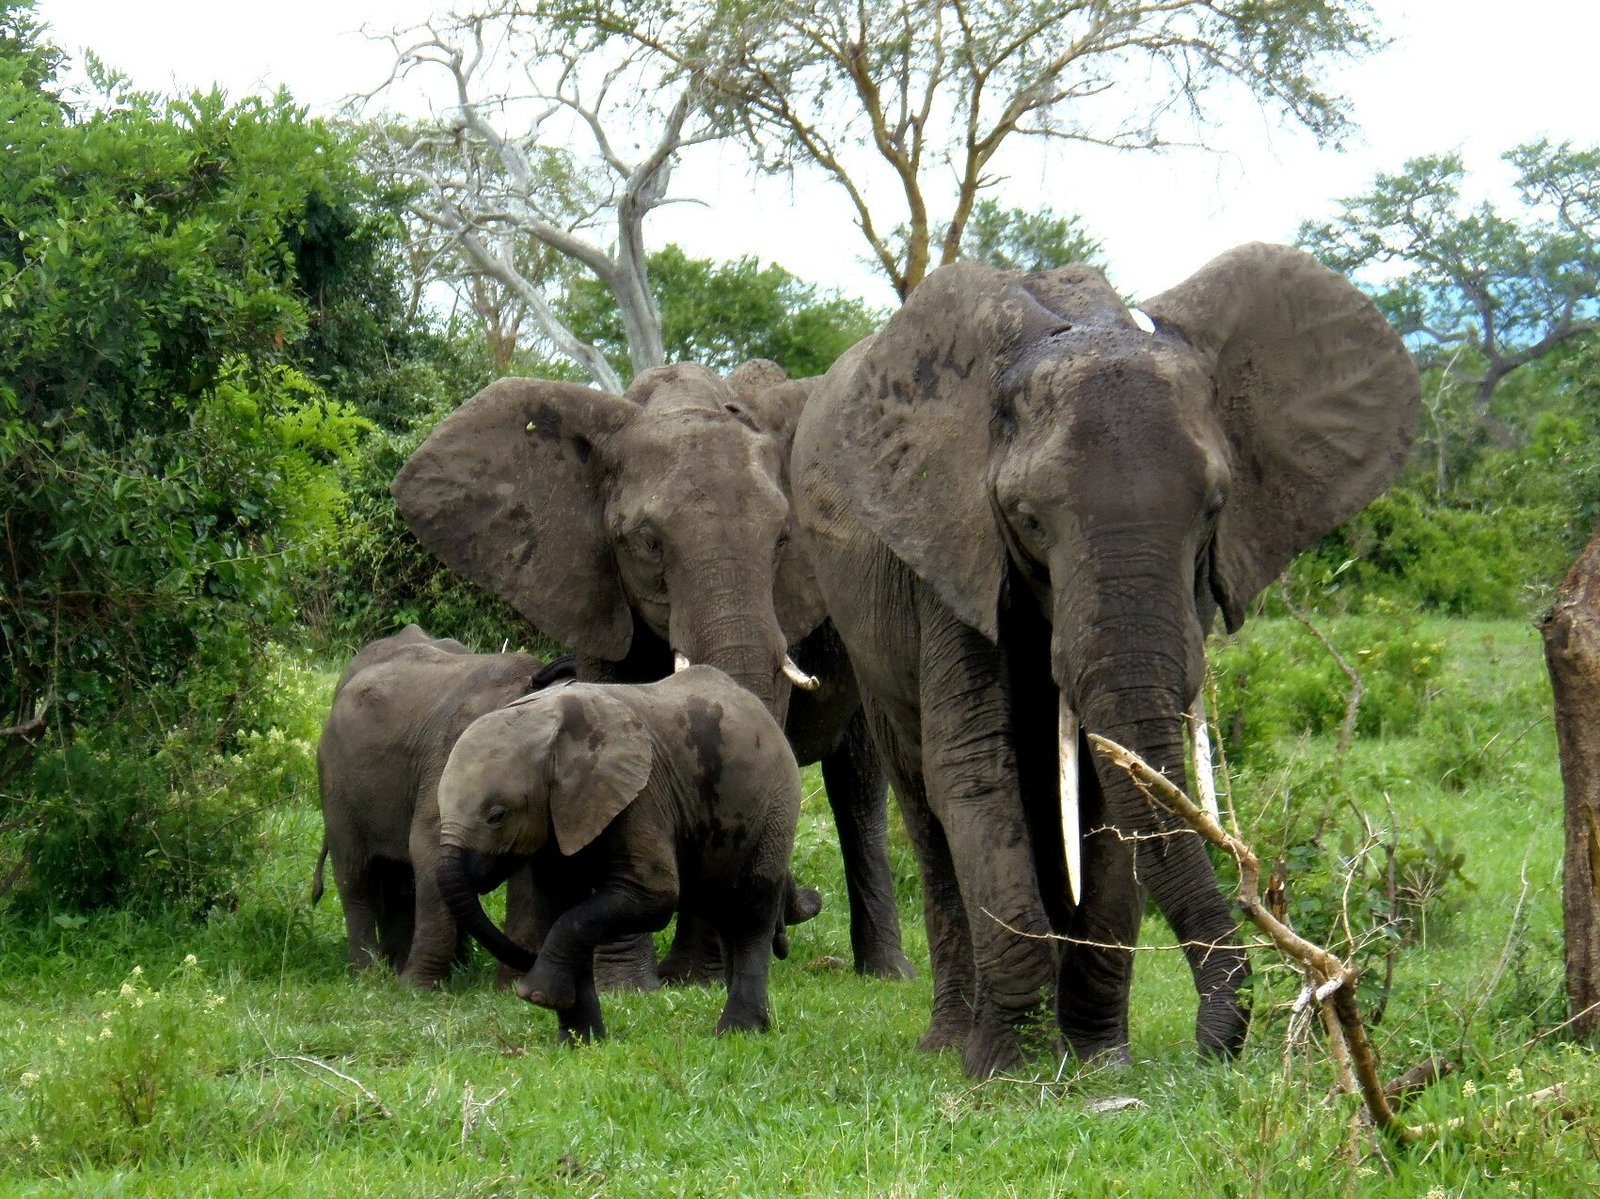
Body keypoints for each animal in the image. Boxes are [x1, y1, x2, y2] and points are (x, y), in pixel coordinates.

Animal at [313, 624, 577, 987]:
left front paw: (510, 988)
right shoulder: (453, 756)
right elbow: (429, 845)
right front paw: (414, 989)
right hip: (336, 782)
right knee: (356, 874)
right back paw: (369, 977)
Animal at [391, 359, 914, 981]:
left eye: (785, 538)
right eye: (648, 542)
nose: (802, 907)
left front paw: (695, 977)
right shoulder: (593, 584)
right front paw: (630, 983)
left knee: (859, 789)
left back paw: (886, 973)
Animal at [436, 666, 803, 1044]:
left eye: (497, 815)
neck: (544, 721)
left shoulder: (642, 796)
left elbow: (652, 898)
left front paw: (535, 996)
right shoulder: (560, 817)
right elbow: (559, 908)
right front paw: (580, 1044)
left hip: (774, 808)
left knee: (751, 911)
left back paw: (737, 1031)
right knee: (723, 911)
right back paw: (754, 1029)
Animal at [792, 243, 1420, 1078]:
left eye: (1214, 508)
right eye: (1028, 519)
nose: (1213, 1048)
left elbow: (1112, 787)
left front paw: (1099, 1064)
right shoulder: (951, 546)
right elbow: (974, 769)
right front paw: (1006, 1069)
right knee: (923, 800)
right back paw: (951, 1040)